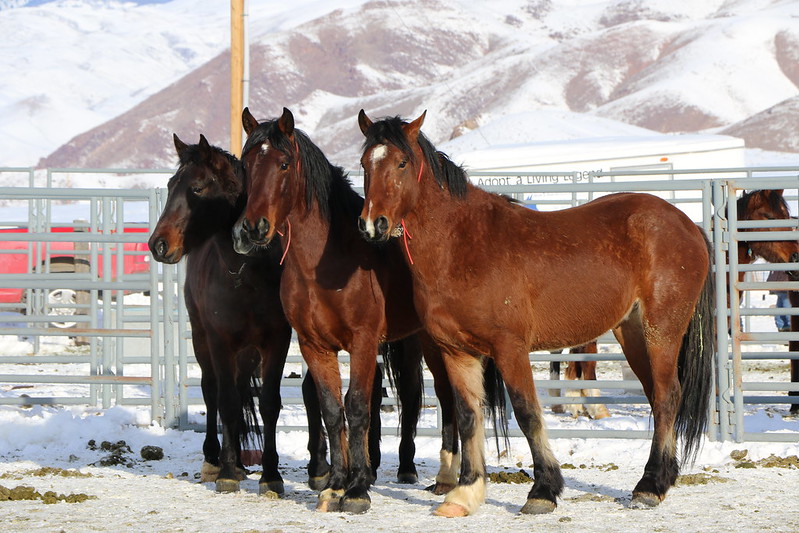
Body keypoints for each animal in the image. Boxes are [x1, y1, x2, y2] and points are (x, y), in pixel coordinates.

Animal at [148, 133, 330, 494]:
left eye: (197, 188)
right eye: (171, 184)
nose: (158, 245)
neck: (246, 273)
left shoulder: (276, 339)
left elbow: (270, 403)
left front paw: (271, 475)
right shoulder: (220, 340)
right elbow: (227, 401)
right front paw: (228, 472)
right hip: (203, 337)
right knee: (212, 390)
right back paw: (215, 460)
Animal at [233, 107, 506, 512]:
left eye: (283, 164)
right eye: (247, 164)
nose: (253, 228)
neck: (326, 264)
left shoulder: (362, 342)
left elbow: (359, 407)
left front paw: (358, 490)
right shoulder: (315, 346)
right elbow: (333, 412)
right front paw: (334, 486)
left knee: (439, 399)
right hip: (428, 340)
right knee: (442, 398)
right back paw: (444, 479)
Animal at [360, 111, 716, 516]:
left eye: (402, 163)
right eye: (365, 164)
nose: (373, 224)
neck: (463, 244)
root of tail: (687, 225)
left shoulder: (509, 348)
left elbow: (527, 411)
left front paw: (543, 490)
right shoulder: (457, 352)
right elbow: (468, 416)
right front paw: (464, 493)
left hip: (662, 330)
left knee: (669, 395)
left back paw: (649, 486)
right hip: (633, 332)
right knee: (657, 396)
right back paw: (661, 479)